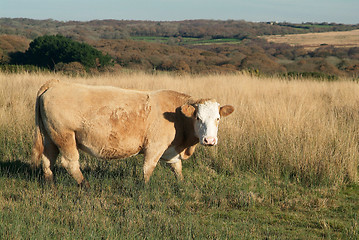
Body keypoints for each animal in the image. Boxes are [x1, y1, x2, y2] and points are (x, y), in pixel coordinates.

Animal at [31, 79, 235, 187]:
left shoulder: (171, 150)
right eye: (198, 118)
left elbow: (177, 168)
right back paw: (85, 185)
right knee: (70, 163)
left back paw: (50, 184)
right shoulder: (155, 146)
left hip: (50, 137)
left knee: (47, 160)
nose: (209, 140)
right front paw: (145, 187)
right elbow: (148, 168)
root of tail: (56, 84)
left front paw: (181, 185)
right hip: (65, 137)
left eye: (218, 118)